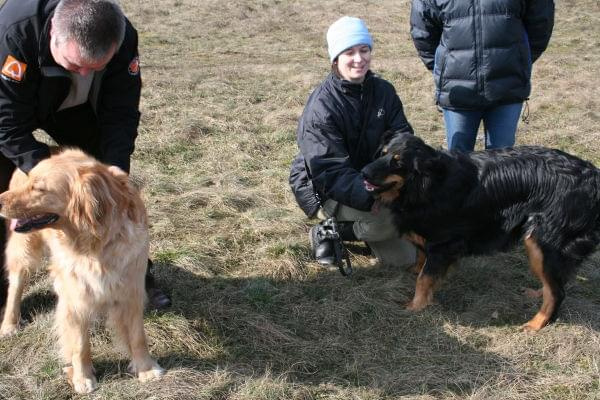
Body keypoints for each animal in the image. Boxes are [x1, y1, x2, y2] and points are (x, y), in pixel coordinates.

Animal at [360, 131, 600, 332]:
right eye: (382, 153)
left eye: (398, 162)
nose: (363, 172)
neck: (427, 184)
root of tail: (593, 178)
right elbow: (420, 260)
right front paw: (414, 273)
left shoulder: (444, 243)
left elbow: (424, 278)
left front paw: (416, 306)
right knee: (554, 282)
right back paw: (538, 293)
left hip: (543, 241)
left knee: (557, 291)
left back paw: (537, 323)